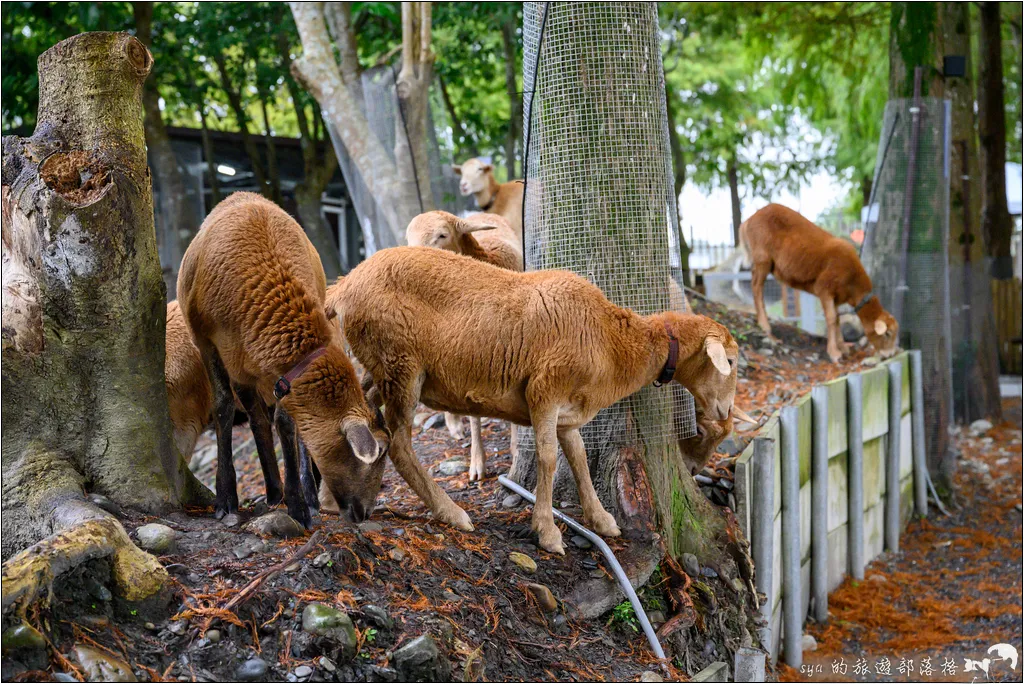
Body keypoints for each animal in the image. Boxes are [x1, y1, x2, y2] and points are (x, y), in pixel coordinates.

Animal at [176, 194, 387, 528]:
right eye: (380, 452)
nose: (365, 512)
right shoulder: (206, 341)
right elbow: (223, 408)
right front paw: (225, 499)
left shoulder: (277, 370)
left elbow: (286, 422)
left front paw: (300, 505)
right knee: (254, 416)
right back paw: (274, 491)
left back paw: (299, 493)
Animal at [327, 245, 753, 557]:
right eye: (730, 361)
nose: (725, 410)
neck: (614, 343)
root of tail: (345, 285)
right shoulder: (544, 391)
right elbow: (548, 459)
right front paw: (547, 532)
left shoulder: (569, 410)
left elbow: (578, 457)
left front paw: (601, 520)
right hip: (400, 363)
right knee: (398, 443)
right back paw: (452, 513)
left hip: (377, 367)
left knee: (352, 417)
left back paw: (330, 500)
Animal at [741, 202, 901, 362]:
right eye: (887, 334)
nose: (890, 355)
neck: (853, 286)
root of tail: (749, 220)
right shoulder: (824, 288)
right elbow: (831, 319)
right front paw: (834, 353)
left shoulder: (836, 297)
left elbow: (837, 319)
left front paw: (842, 348)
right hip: (762, 257)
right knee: (756, 287)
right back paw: (764, 324)